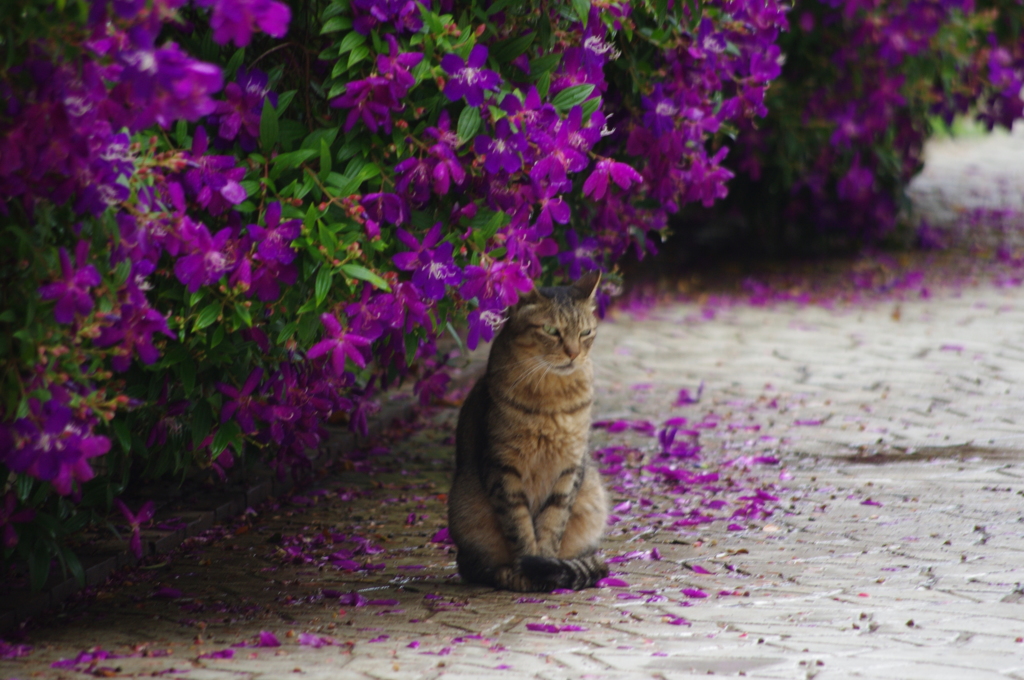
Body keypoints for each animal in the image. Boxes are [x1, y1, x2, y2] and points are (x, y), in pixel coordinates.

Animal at [448, 270, 606, 589]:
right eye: (551, 330)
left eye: (585, 333)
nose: (573, 353)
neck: (552, 398)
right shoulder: (502, 466)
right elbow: (519, 525)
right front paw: (526, 569)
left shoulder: (570, 467)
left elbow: (553, 523)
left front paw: (543, 564)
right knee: (473, 566)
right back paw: (505, 573)